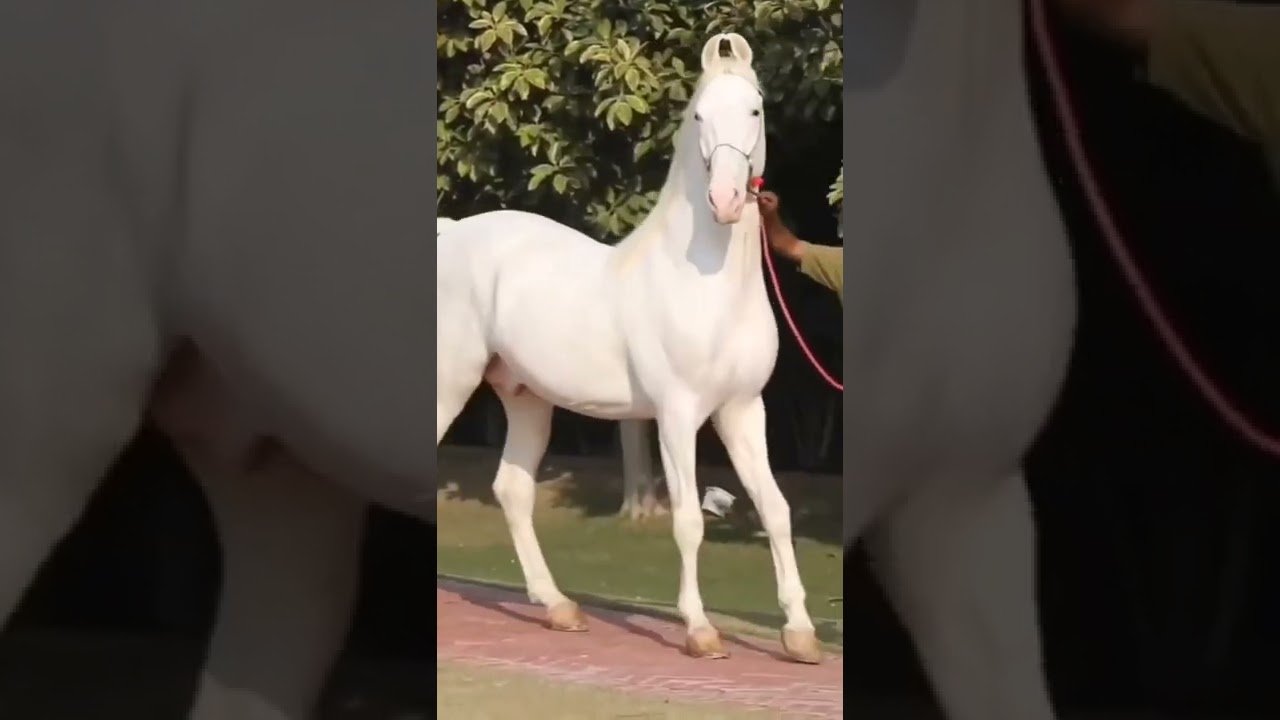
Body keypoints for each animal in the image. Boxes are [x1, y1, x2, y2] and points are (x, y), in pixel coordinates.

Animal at [435, 33, 823, 664]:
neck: (705, 283)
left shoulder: (743, 411)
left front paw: (801, 633)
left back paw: (559, 607)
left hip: (525, 397)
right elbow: (689, 521)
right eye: (698, 116)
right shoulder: (678, 415)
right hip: (451, 381)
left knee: (513, 490)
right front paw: (699, 630)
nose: (724, 199)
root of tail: (452, 232)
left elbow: (776, 509)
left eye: (755, 111)